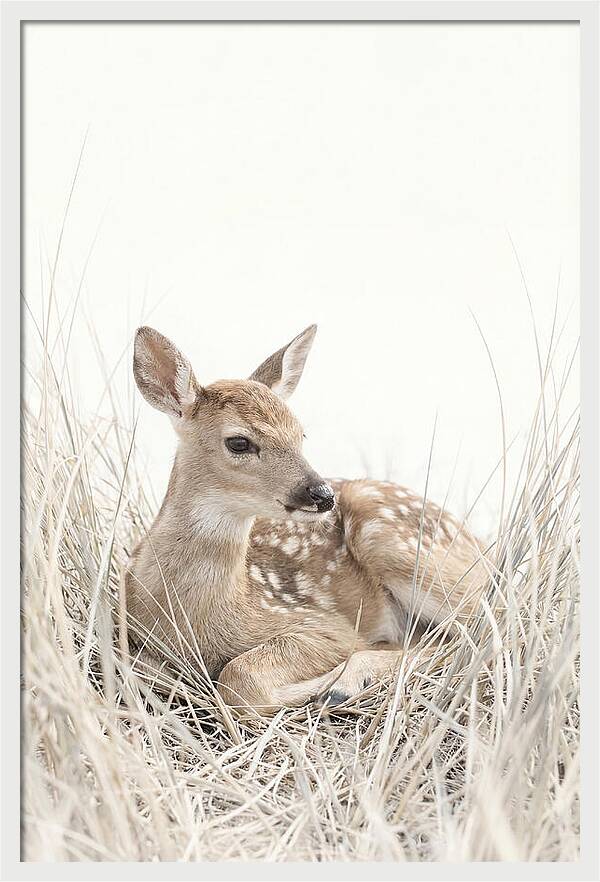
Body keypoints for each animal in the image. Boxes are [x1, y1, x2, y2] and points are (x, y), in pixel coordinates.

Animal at [123, 324, 488, 716]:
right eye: (239, 442)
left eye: (301, 434)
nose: (322, 494)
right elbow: (144, 669)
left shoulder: (324, 625)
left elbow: (240, 679)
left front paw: (318, 688)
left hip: (393, 541)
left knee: (481, 630)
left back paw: (344, 685)